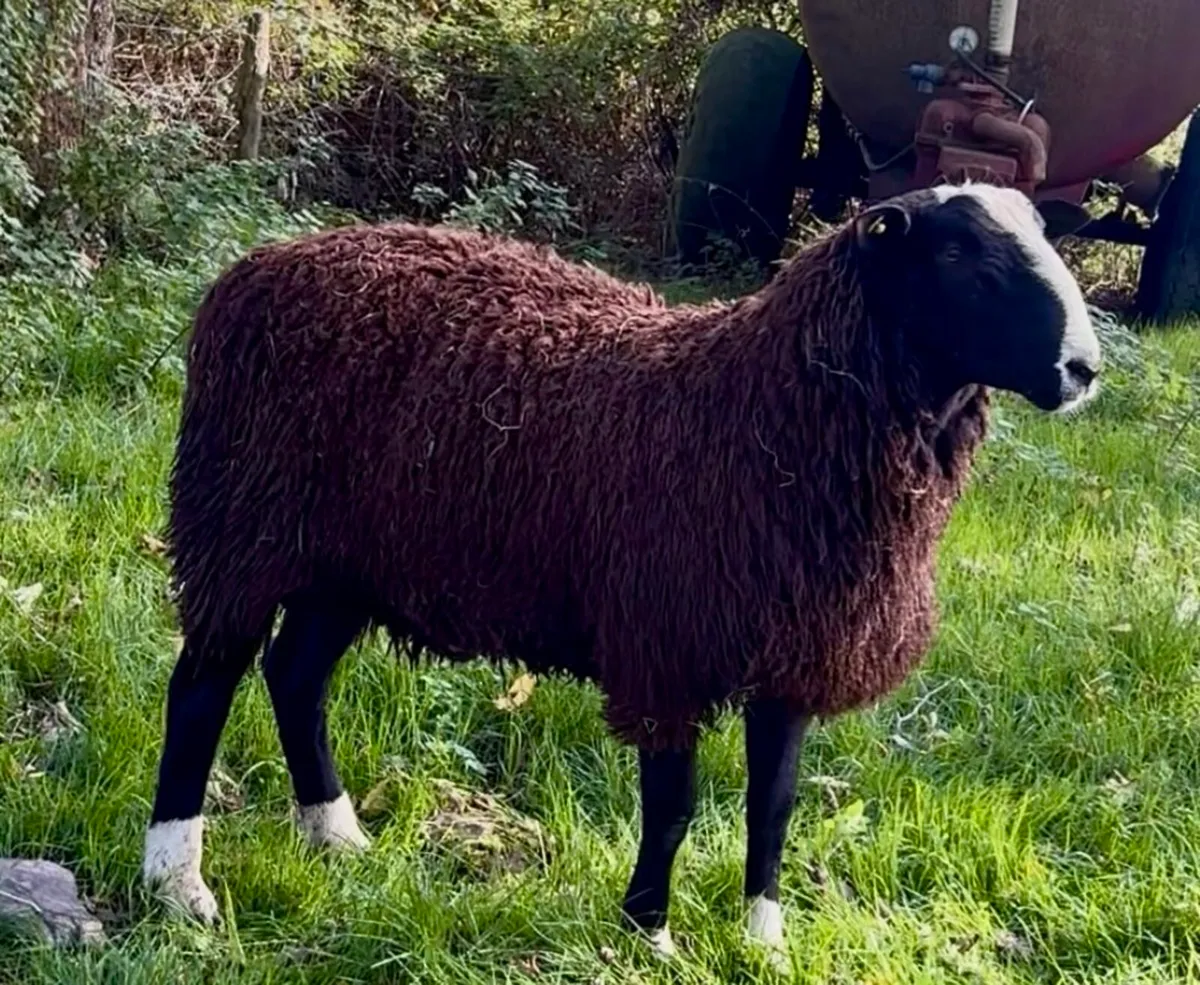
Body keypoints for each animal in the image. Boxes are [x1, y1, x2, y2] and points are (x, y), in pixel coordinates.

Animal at [141, 183, 1100, 957]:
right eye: (955, 253)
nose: (1084, 368)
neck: (759, 411)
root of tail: (257, 265)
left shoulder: (796, 649)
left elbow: (774, 806)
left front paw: (764, 940)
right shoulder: (667, 644)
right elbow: (672, 807)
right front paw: (650, 933)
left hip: (345, 559)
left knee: (295, 675)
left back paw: (334, 833)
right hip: (242, 519)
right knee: (204, 683)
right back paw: (178, 880)